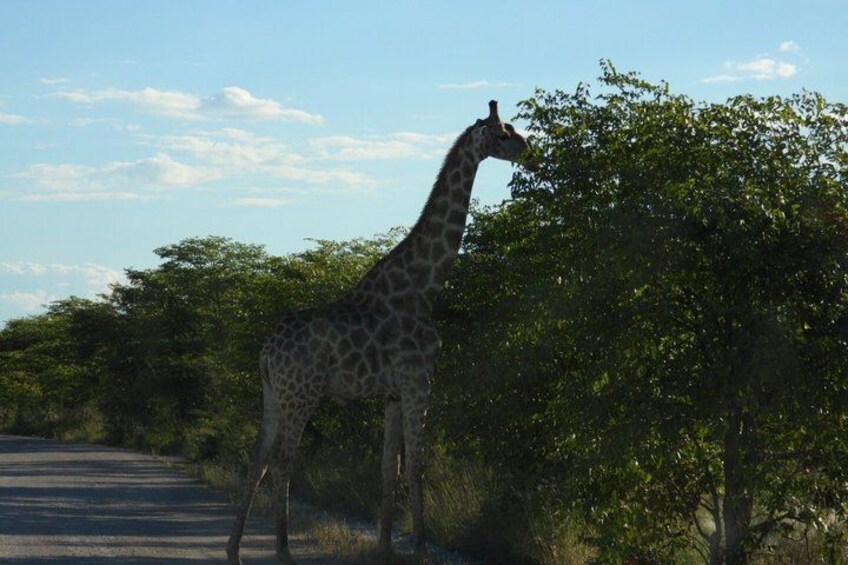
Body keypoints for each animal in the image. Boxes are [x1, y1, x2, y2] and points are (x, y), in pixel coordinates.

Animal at [227, 100, 531, 564]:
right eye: (502, 134)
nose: (528, 149)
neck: (425, 286)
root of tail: (265, 352)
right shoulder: (418, 379)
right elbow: (419, 464)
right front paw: (420, 550)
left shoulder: (392, 391)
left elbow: (391, 467)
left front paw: (387, 546)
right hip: (302, 394)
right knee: (282, 462)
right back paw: (282, 551)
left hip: (272, 394)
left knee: (257, 458)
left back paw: (234, 550)